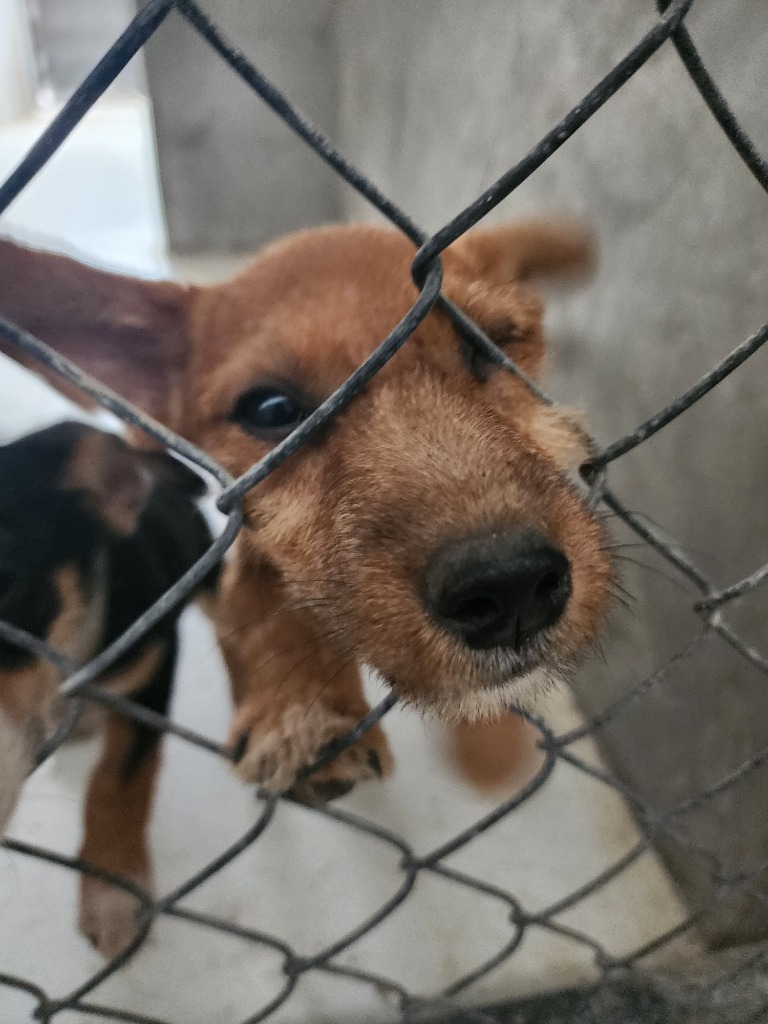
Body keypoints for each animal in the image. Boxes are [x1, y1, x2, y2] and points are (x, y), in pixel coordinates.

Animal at [0, 222, 614, 806]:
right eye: (270, 409)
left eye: (492, 345)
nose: (511, 585)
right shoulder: (247, 544)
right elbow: (267, 603)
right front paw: (298, 714)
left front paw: (491, 746)